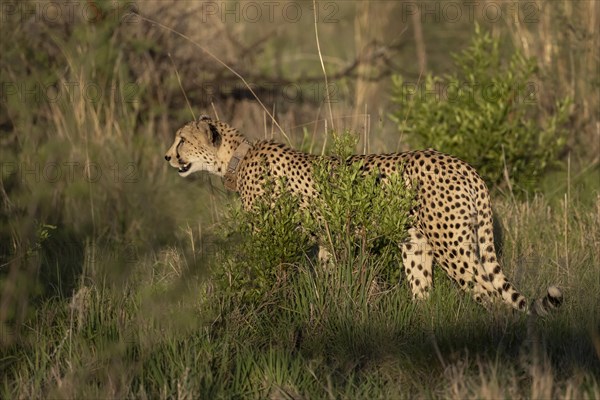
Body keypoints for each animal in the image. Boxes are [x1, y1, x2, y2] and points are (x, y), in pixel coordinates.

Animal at [165, 115, 564, 316]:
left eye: (182, 140)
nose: (167, 156)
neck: (236, 158)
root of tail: (462, 164)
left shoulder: (273, 237)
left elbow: (268, 276)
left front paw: (264, 308)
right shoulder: (326, 242)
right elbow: (327, 280)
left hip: (452, 248)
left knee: (489, 296)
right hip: (417, 246)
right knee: (426, 295)